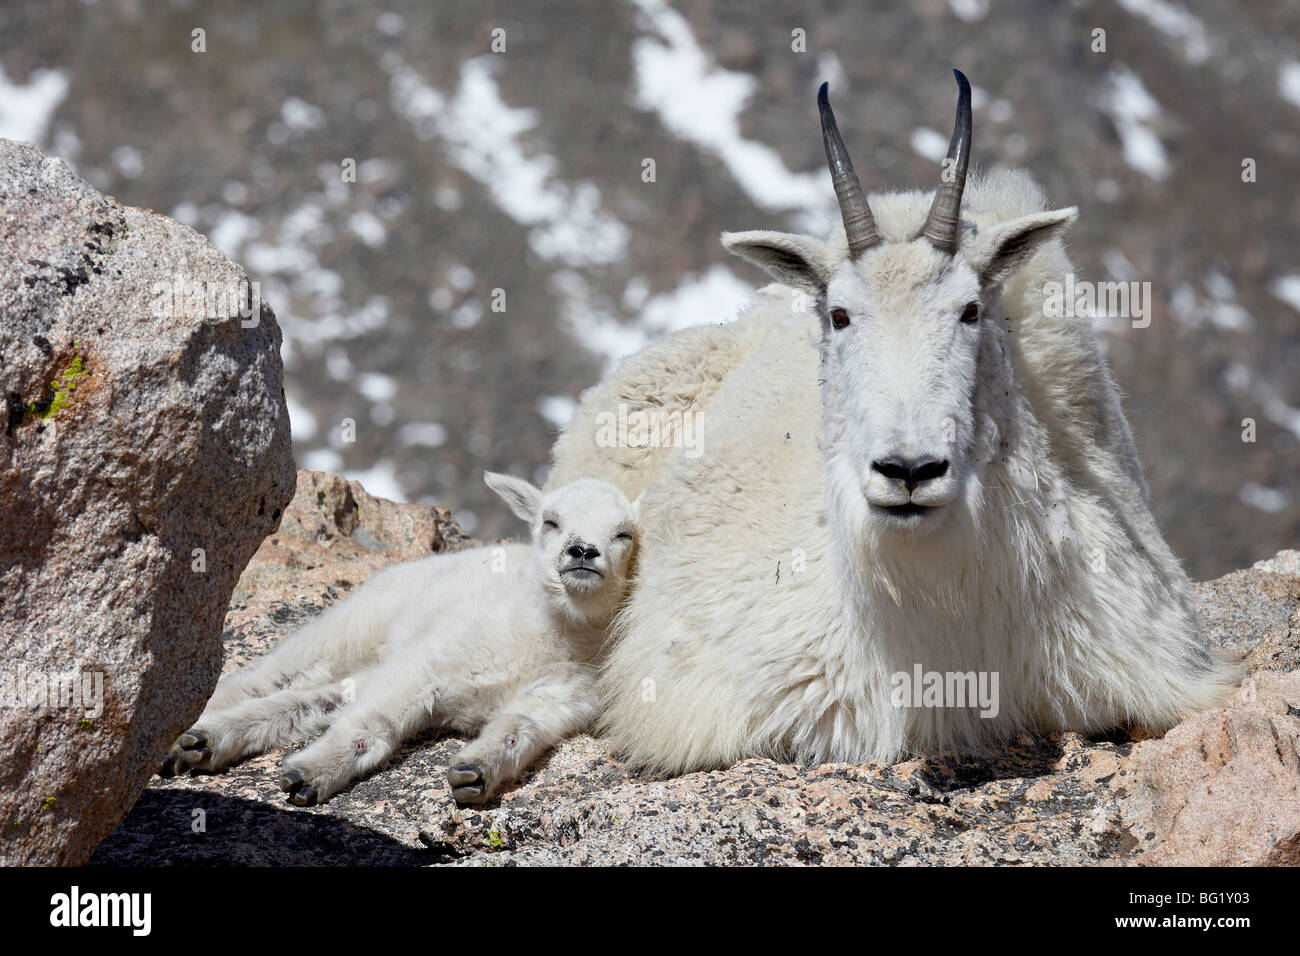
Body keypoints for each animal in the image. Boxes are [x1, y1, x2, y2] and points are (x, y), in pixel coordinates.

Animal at [159, 476, 642, 806]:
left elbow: (516, 730)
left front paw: (473, 773)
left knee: (306, 703)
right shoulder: (427, 665)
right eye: (550, 522)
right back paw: (177, 740)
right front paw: (307, 776)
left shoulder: (559, 699)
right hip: (348, 631)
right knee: (263, 679)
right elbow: (370, 725)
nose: (583, 552)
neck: (545, 633)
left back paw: (201, 744)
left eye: (624, 534)